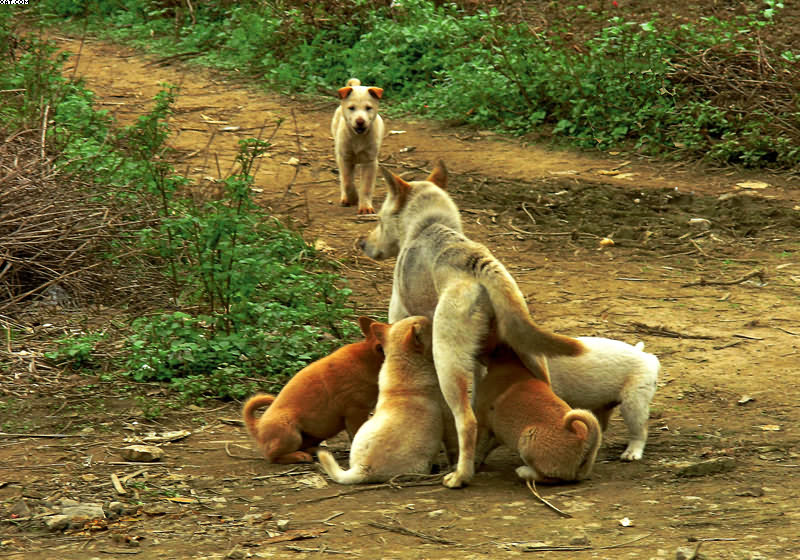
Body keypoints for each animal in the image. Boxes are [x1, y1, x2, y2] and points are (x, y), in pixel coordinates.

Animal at [241, 316, 384, 464]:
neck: (370, 359)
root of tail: (258, 426)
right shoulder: (355, 413)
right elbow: (356, 436)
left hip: (317, 434)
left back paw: (314, 451)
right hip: (291, 433)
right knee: (273, 456)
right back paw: (300, 456)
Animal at [318, 318, 454, 484]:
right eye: (429, 326)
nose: (433, 318)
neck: (401, 364)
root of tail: (362, 469)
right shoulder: (446, 413)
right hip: (418, 467)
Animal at [328, 80, 384, 215]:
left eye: (368, 108)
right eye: (352, 108)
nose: (360, 121)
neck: (358, 138)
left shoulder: (370, 162)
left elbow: (366, 187)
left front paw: (365, 207)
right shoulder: (345, 159)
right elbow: (347, 182)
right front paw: (353, 198)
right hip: (339, 152)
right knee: (343, 179)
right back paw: (345, 198)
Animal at [360, 160, 584, 488]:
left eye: (378, 218)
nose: (361, 242)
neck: (426, 226)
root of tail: (481, 266)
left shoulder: (398, 317)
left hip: (448, 363)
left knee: (466, 421)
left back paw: (460, 475)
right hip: (531, 352)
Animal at [476, 344, 600, 484]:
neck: (508, 363)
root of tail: (585, 441)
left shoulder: (482, 421)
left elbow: (477, 446)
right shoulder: (496, 432)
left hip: (526, 440)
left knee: (547, 478)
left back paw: (524, 472)